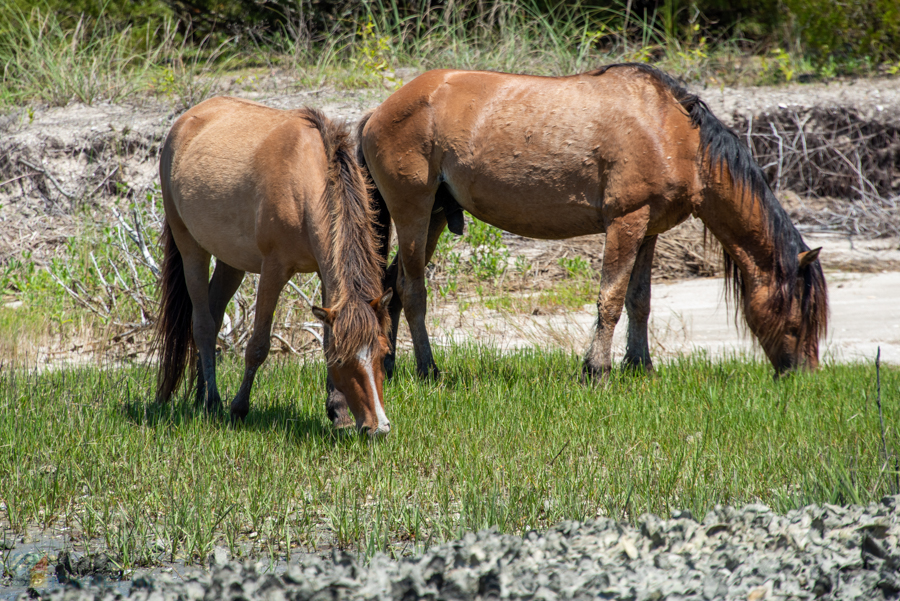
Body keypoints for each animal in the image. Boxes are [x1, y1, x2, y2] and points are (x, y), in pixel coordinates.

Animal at [156, 97, 394, 436]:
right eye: (342, 361)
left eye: (384, 353)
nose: (378, 427)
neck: (307, 178)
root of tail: (183, 121)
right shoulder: (274, 270)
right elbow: (258, 345)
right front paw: (239, 408)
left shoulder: (326, 274)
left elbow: (325, 339)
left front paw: (338, 412)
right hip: (191, 247)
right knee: (202, 325)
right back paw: (213, 402)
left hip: (230, 261)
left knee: (214, 315)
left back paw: (202, 395)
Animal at [358, 64, 828, 380]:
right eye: (800, 313)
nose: (804, 375)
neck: (675, 136)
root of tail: (376, 112)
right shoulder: (626, 221)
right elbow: (611, 299)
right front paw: (596, 370)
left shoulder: (648, 230)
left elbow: (640, 301)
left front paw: (641, 367)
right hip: (414, 211)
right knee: (412, 291)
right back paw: (428, 369)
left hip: (435, 217)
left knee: (392, 286)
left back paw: (388, 364)